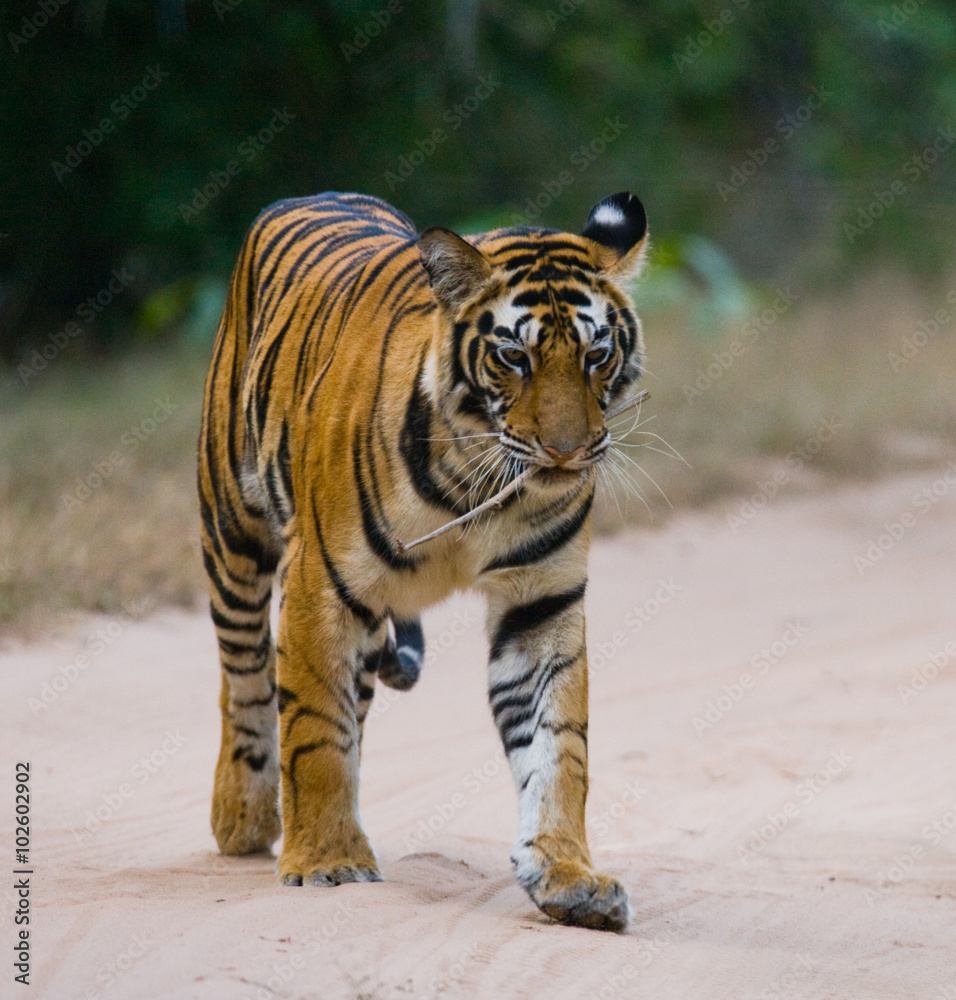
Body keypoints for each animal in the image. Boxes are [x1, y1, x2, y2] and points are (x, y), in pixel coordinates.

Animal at [198, 189, 649, 932]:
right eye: (513, 356)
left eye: (597, 353)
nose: (567, 453)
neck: (477, 479)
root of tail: (313, 193)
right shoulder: (321, 583)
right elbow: (314, 731)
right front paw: (325, 861)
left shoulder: (541, 601)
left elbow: (559, 744)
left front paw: (567, 875)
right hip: (232, 533)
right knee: (248, 678)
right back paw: (244, 814)